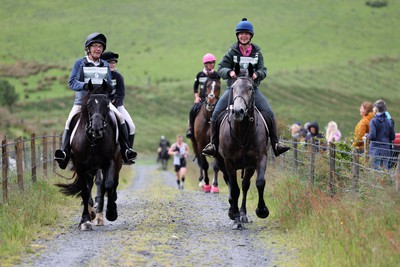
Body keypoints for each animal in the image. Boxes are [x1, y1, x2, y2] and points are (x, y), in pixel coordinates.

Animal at [56, 80, 122, 231]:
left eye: (107, 104)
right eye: (88, 105)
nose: (96, 129)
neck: (93, 141)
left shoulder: (109, 162)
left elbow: (108, 185)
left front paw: (111, 212)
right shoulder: (80, 166)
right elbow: (85, 191)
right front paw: (85, 220)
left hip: (114, 164)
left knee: (110, 184)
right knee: (90, 185)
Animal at [216, 65, 268, 230]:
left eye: (251, 88)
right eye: (233, 87)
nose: (238, 111)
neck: (243, 131)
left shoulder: (259, 159)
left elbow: (259, 182)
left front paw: (262, 210)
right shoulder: (229, 162)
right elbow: (234, 189)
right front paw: (235, 217)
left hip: (248, 167)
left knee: (245, 185)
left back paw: (243, 214)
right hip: (221, 163)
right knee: (231, 184)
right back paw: (233, 212)